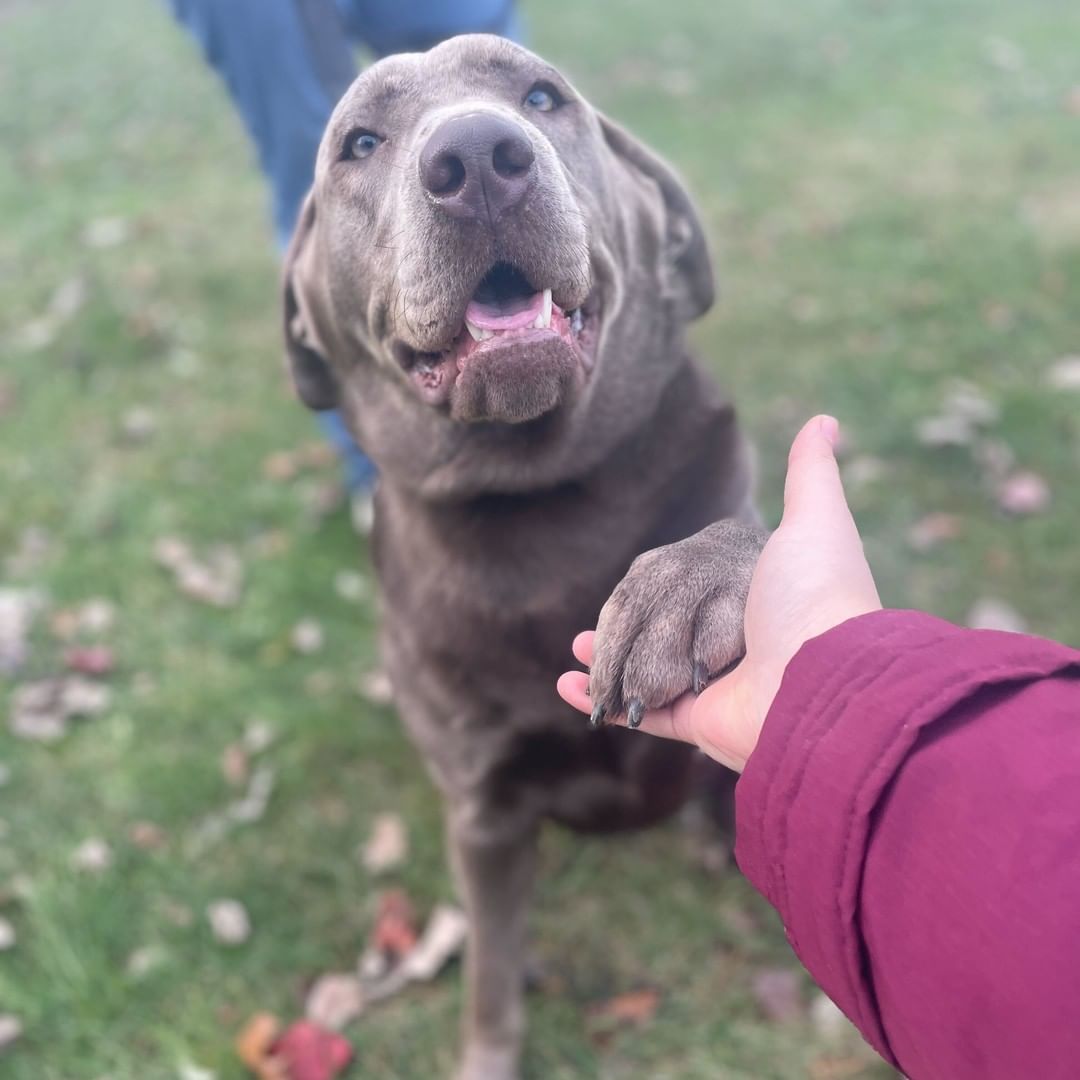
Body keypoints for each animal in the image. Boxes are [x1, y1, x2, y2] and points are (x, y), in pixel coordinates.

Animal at [282, 33, 764, 1080]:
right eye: (359, 142)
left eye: (543, 97)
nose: (475, 161)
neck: (543, 498)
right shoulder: (487, 809)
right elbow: (491, 979)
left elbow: (753, 532)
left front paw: (679, 589)